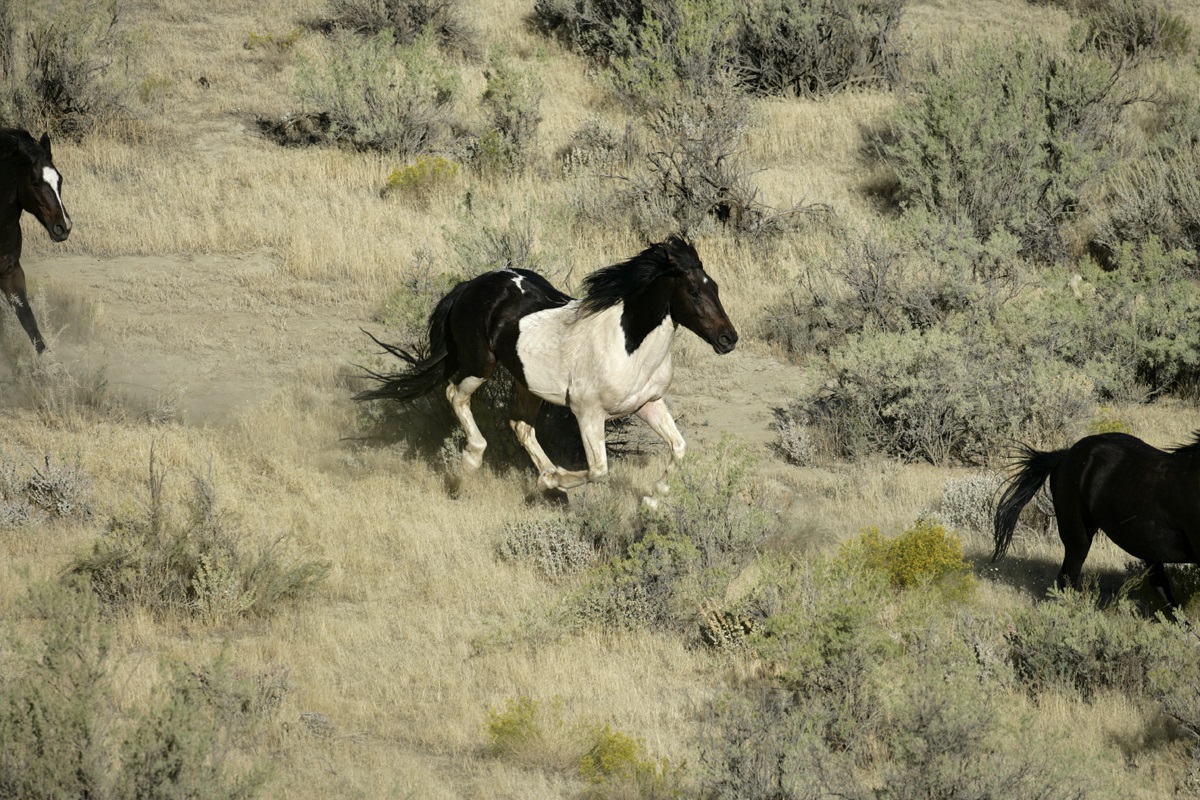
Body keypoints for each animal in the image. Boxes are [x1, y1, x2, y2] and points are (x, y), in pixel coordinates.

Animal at [350, 235, 734, 503]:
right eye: (692, 291)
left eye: (715, 287)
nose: (729, 339)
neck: (629, 347)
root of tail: (469, 286)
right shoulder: (587, 412)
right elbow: (598, 469)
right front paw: (553, 479)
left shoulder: (648, 404)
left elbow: (679, 447)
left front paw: (652, 500)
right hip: (481, 365)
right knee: (454, 394)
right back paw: (470, 466)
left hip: (526, 382)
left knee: (519, 425)